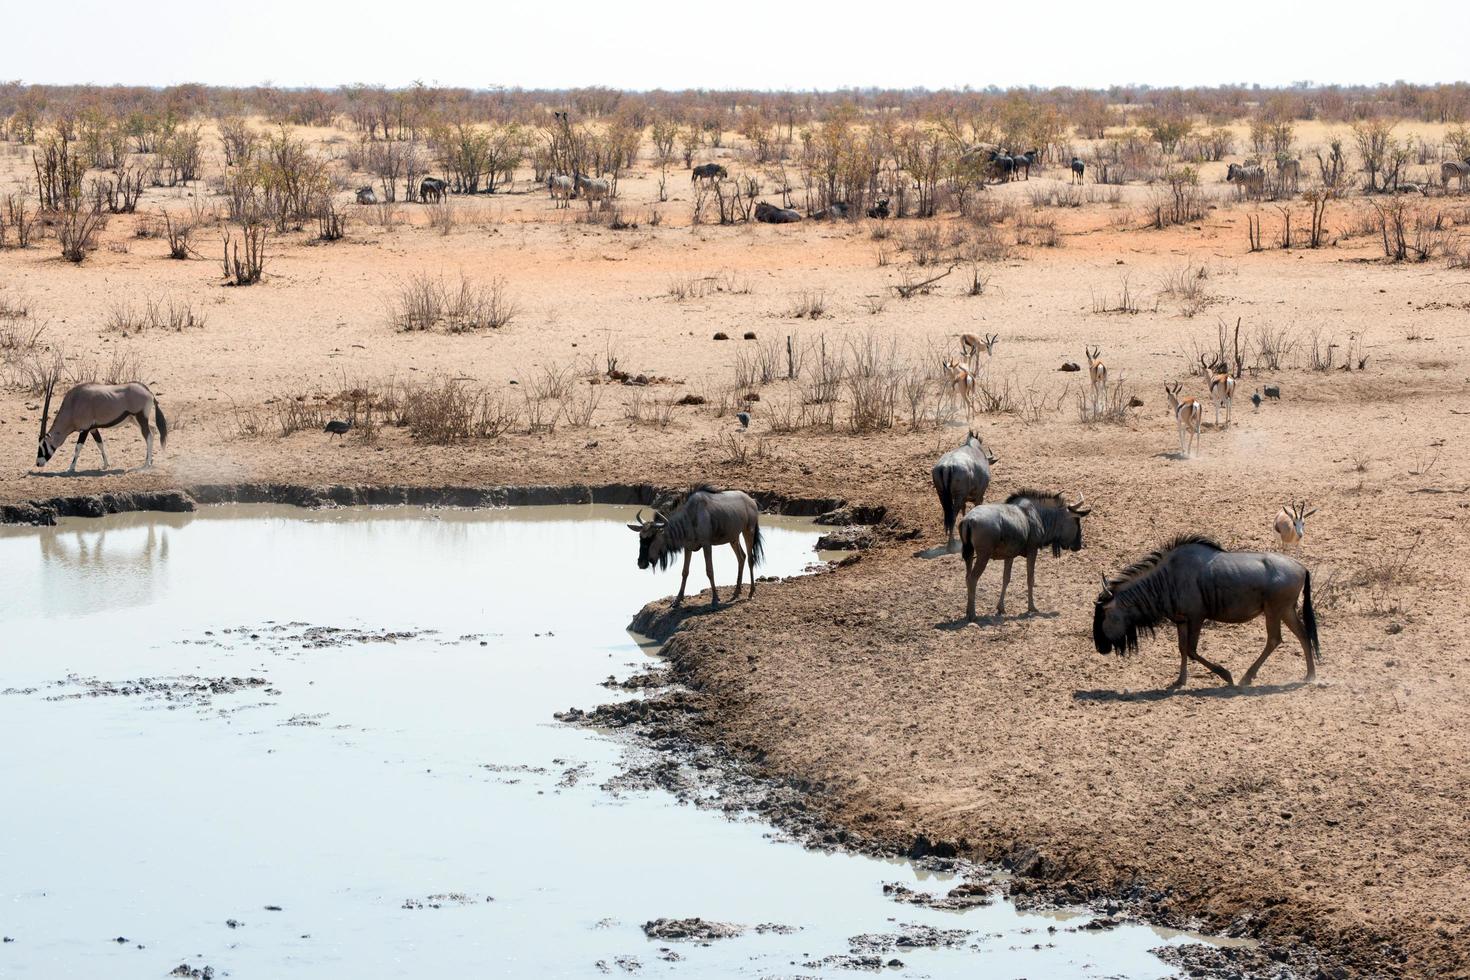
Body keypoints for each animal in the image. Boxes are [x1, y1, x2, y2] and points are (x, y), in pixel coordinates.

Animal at [36, 382, 167, 473]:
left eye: (43, 445)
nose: (38, 463)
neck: (73, 403)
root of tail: (148, 391)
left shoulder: (85, 429)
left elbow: (78, 448)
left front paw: (71, 468)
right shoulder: (93, 429)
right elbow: (100, 444)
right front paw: (105, 465)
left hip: (140, 417)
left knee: (148, 435)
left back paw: (146, 465)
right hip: (135, 420)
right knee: (153, 430)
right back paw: (150, 460)